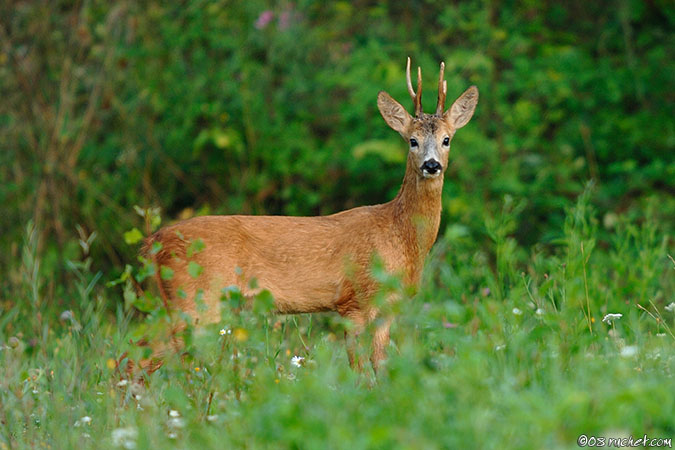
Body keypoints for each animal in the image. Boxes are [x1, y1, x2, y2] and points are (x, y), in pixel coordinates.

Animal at [145, 58, 478, 370]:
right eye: (412, 140)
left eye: (447, 139)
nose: (432, 165)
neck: (400, 236)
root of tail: (154, 241)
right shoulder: (353, 301)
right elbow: (358, 372)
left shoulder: (387, 310)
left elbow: (381, 368)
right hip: (194, 298)